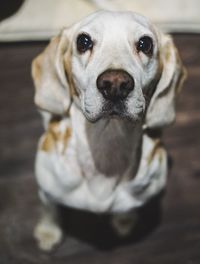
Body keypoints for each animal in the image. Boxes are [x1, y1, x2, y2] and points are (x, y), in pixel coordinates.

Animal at [31, 9, 186, 250]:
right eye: (83, 41)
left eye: (146, 44)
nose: (115, 84)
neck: (107, 143)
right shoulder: (47, 190)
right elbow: (50, 210)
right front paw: (48, 232)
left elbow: (128, 208)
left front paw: (124, 220)